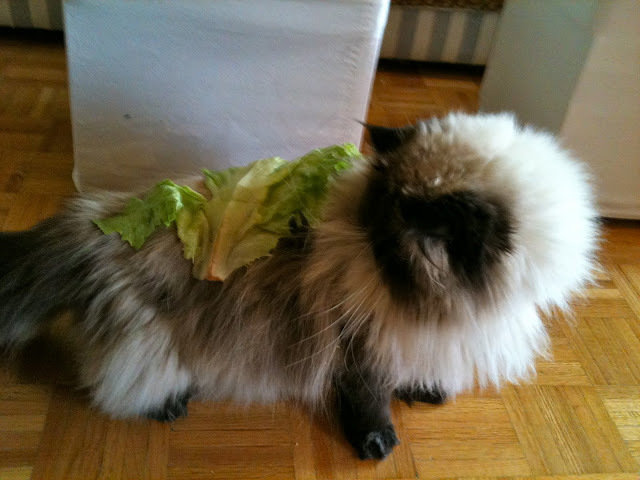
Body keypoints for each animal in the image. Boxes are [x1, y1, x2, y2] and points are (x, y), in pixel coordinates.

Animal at [0, 112, 598, 460]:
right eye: (374, 232)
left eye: (388, 242)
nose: (366, 249)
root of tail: (94, 221)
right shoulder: (361, 343)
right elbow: (369, 399)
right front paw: (376, 441)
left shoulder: (408, 332)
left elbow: (416, 367)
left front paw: (425, 389)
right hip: (153, 338)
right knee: (115, 382)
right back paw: (169, 402)